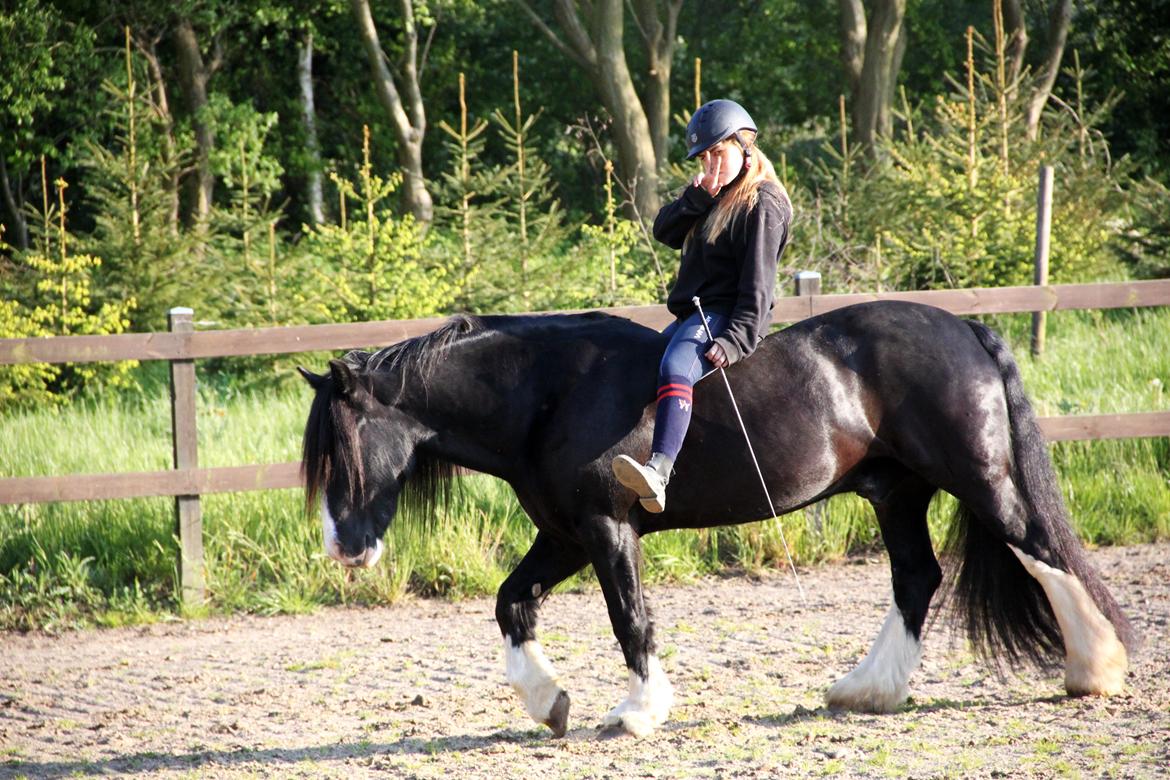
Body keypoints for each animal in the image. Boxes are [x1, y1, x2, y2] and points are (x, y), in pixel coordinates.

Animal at [299, 304, 1132, 739]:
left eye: (344, 449)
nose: (342, 549)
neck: (547, 392)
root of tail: (965, 326)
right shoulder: (566, 535)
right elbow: (512, 603)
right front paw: (549, 701)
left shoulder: (606, 529)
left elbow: (630, 619)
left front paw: (638, 710)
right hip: (898, 494)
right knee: (917, 578)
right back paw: (867, 690)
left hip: (979, 478)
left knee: (1042, 551)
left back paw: (1093, 670)